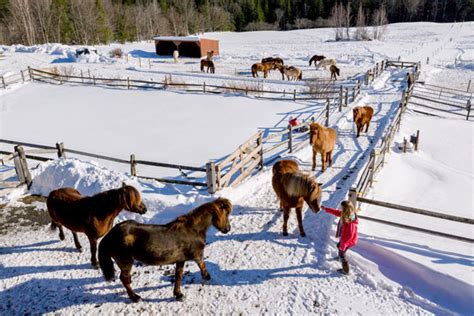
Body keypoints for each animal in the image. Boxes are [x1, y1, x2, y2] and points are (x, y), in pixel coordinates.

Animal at [99, 196, 232, 302]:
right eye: (225, 214)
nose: (228, 229)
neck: (192, 230)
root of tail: (109, 235)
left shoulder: (180, 260)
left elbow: (178, 276)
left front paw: (178, 294)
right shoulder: (197, 255)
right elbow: (202, 265)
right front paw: (206, 277)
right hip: (126, 261)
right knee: (124, 279)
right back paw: (135, 297)